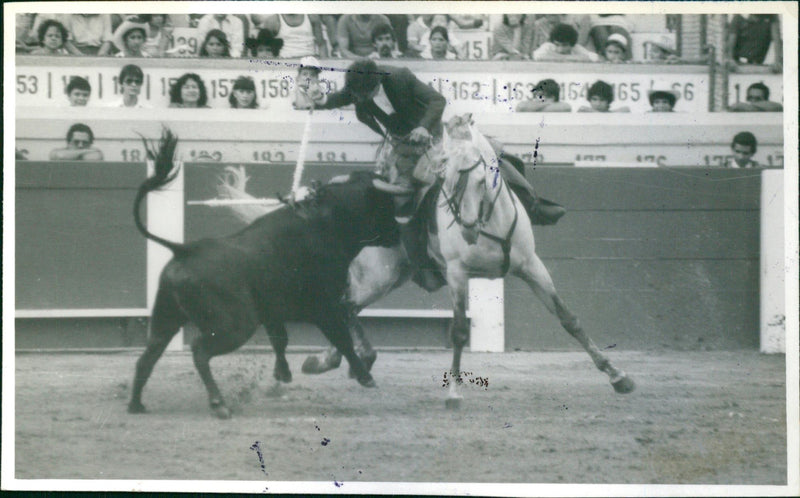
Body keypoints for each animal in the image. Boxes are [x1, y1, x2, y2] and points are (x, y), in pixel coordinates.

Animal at [434, 114, 636, 408]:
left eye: (481, 180)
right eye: (445, 179)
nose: (468, 230)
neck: (490, 221)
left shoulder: (531, 265)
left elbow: (568, 318)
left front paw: (617, 375)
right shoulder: (457, 272)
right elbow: (459, 330)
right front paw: (453, 393)